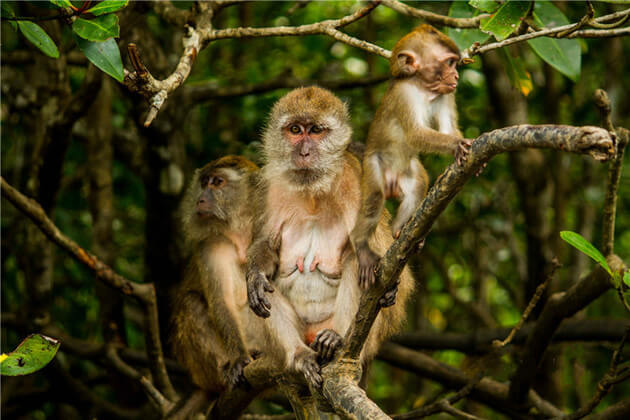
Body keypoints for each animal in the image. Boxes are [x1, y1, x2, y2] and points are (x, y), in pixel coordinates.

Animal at [172, 155, 324, 398]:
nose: (200, 200)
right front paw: (237, 360)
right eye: (204, 183)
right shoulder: (211, 245)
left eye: (217, 182)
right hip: (201, 370)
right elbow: (221, 301)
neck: (242, 232)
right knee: (191, 302)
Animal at [247, 86, 414, 378]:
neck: (313, 192)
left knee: (358, 260)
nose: (303, 152)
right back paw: (300, 355)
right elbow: (266, 245)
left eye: (315, 131)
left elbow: (379, 256)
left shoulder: (355, 181)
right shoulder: (270, 186)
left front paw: (390, 288)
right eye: (295, 129)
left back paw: (337, 339)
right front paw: (256, 276)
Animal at [354, 24, 472, 288]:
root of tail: (391, 182)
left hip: (406, 174)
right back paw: (361, 246)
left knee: (418, 185)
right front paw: (458, 144)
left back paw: (399, 232)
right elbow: (415, 134)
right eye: (449, 63)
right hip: (373, 166)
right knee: (375, 198)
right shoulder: (404, 95)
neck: (422, 88)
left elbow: (447, 127)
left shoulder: (446, 94)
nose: (456, 77)